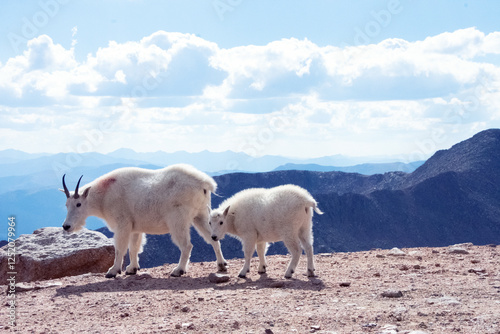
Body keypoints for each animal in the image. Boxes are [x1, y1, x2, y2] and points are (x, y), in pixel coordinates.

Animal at [60, 164, 227, 276]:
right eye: (66, 204)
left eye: (78, 204)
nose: (66, 226)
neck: (104, 196)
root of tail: (204, 183)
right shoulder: (135, 227)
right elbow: (134, 247)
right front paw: (132, 269)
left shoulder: (122, 224)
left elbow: (120, 248)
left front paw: (113, 271)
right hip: (201, 215)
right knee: (213, 239)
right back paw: (221, 265)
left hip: (177, 220)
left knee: (187, 245)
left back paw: (178, 270)